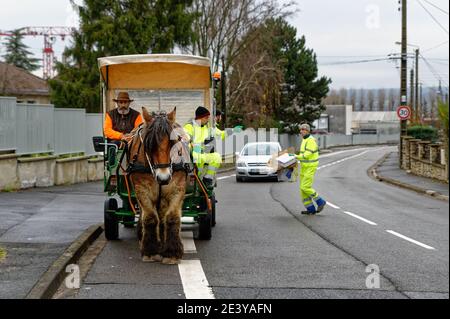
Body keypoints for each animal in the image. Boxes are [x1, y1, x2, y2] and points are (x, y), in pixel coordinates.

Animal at [127, 107, 189, 264]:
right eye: (149, 145)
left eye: (174, 142)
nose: (163, 177)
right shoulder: (141, 188)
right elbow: (150, 217)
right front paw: (150, 250)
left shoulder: (177, 187)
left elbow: (171, 217)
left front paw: (172, 252)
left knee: (163, 215)